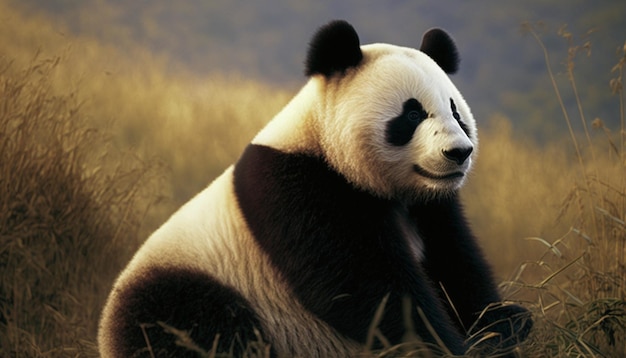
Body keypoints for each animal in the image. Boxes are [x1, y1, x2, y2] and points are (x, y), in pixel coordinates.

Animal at [98, 20, 532, 358]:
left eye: (456, 111)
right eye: (411, 114)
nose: (458, 153)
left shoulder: (431, 207)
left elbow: (457, 264)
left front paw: (501, 325)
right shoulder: (300, 189)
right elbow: (366, 288)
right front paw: (448, 344)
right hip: (193, 286)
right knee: (195, 327)